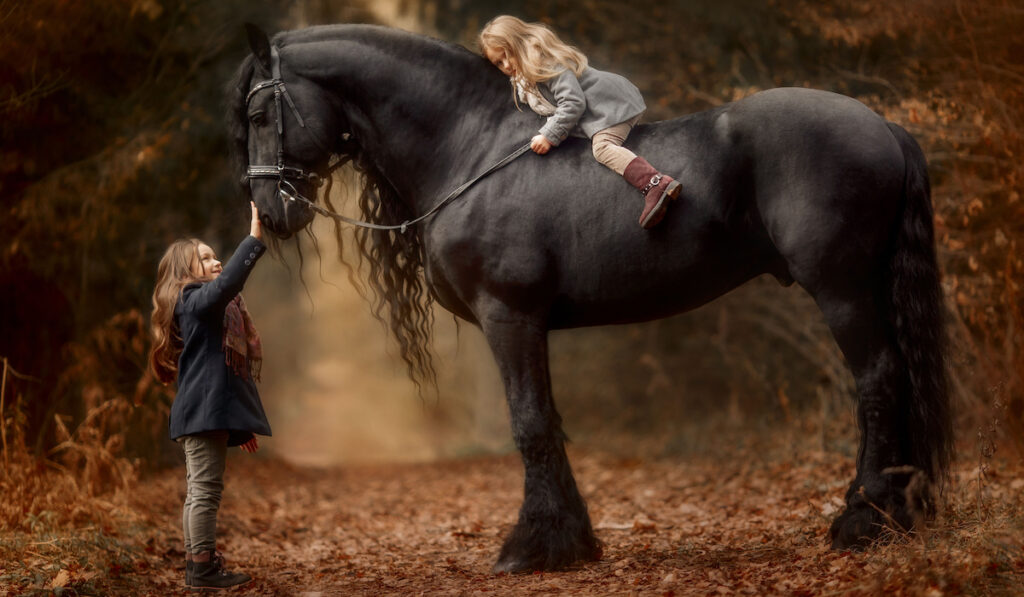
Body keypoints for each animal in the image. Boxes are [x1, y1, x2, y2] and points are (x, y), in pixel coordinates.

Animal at [230, 24, 950, 573]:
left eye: (262, 114)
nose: (270, 208)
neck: (473, 149)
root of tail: (883, 125)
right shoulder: (529, 324)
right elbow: (547, 420)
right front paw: (570, 541)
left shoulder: (510, 316)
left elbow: (530, 423)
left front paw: (534, 547)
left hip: (842, 288)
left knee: (879, 380)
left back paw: (864, 518)